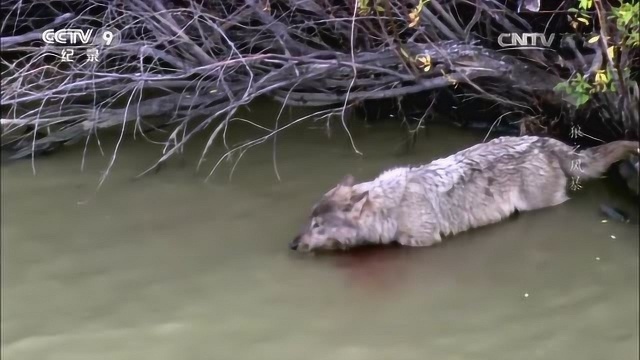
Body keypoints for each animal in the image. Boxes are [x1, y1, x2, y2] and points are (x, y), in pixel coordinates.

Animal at [290, 136, 640, 253]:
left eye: (318, 226)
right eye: (309, 221)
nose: (292, 244)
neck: (391, 207)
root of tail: (544, 141)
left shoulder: (421, 242)